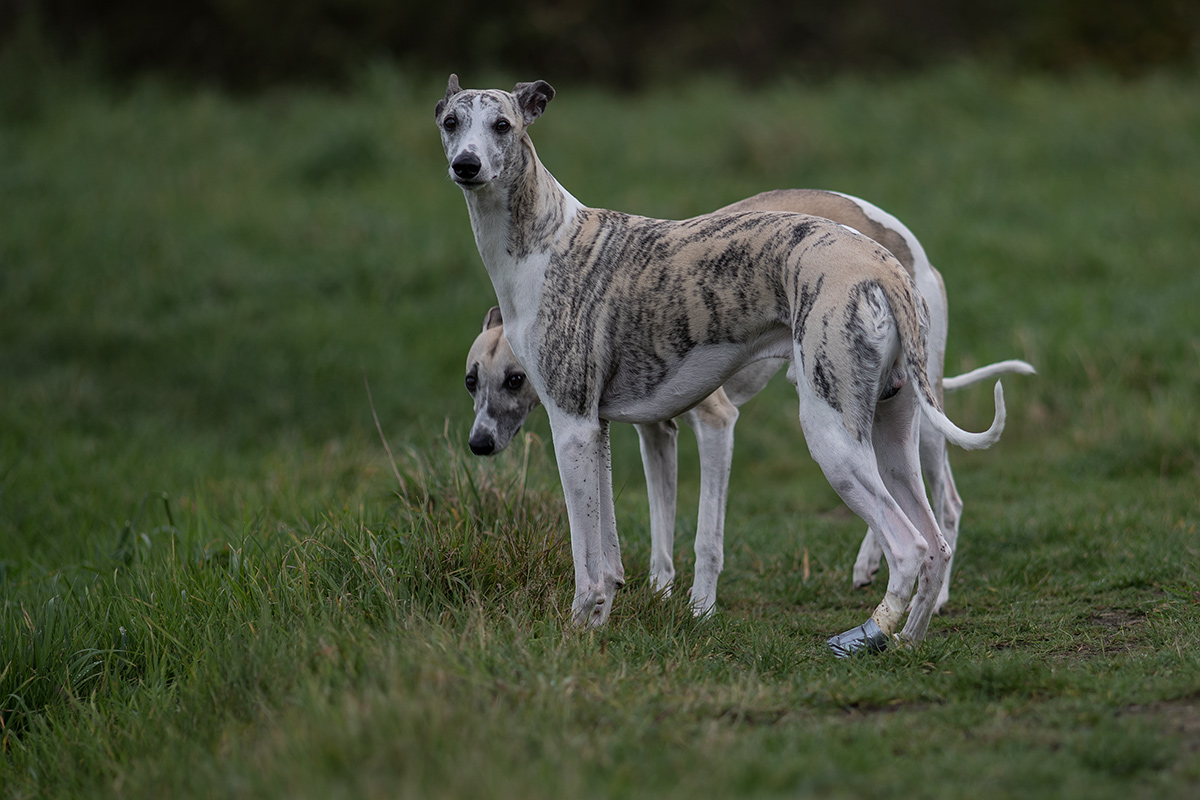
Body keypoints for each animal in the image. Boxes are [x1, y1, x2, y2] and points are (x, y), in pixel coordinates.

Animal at [463, 194, 1036, 618]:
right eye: (471, 381)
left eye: (516, 379)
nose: (479, 444)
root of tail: (898, 240)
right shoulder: (653, 433)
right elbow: (658, 530)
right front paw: (656, 591)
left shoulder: (717, 423)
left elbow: (706, 538)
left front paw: (699, 608)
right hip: (866, 411)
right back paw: (873, 568)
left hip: (912, 416)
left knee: (945, 504)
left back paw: (932, 597)